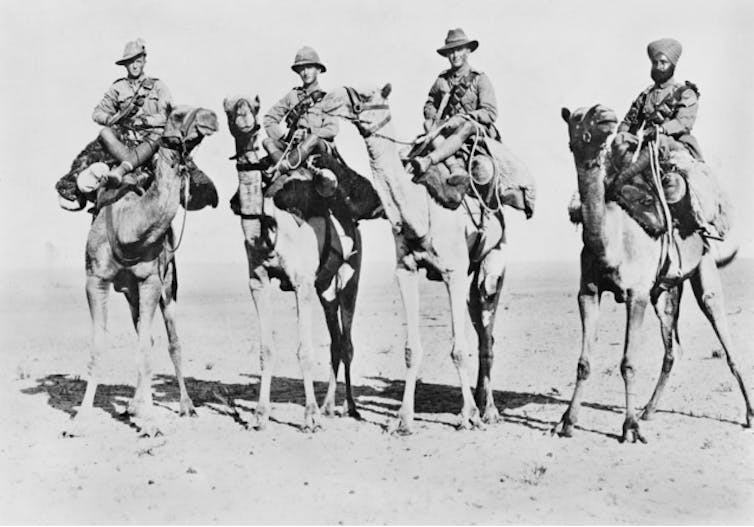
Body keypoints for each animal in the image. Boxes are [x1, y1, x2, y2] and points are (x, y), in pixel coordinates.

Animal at [69, 107, 217, 438]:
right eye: (178, 113)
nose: (212, 117)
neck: (129, 228)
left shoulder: (151, 281)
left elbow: (149, 349)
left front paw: (149, 420)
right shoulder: (94, 280)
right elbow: (99, 346)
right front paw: (80, 420)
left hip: (167, 284)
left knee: (172, 341)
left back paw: (184, 406)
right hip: (130, 293)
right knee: (143, 335)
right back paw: (134, 406)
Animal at [220, 95, 378, 434]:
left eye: (253, 105)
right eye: (228, 108)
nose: (242, 112)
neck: (270, 229)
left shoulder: (301, 283)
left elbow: (304, 351)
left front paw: (309, 417)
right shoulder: (258, 281)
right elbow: (266, 350)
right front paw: (259, 416)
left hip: (351, 275)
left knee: (346, 342)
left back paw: (350, 408)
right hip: (324, 287)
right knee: (335, 342)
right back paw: (329, 406)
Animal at [328, 85, 512, 434]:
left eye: (367, 94)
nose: (330, 98)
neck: (420, 212)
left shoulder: (453, 272)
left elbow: (459, 350)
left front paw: (468, 416)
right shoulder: (407, 270)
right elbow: (411, 349)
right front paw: (403, 419)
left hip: (494, 262)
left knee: (487, 337)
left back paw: (490, 411)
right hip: (470, 281)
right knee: (483, 331)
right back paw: (482, 402)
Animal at [556, 105, 748, 444]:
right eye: (578, 118)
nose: (604, 113)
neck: (610, 240)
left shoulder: (637, 295)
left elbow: (628, 363)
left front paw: (629, 428)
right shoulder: (588, 292)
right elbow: (583, 362)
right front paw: (568, 421)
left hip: (703, 270)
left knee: (725, 337)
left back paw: (748, 415)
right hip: (666, 291)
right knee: (673, 351)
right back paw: (649, 409)